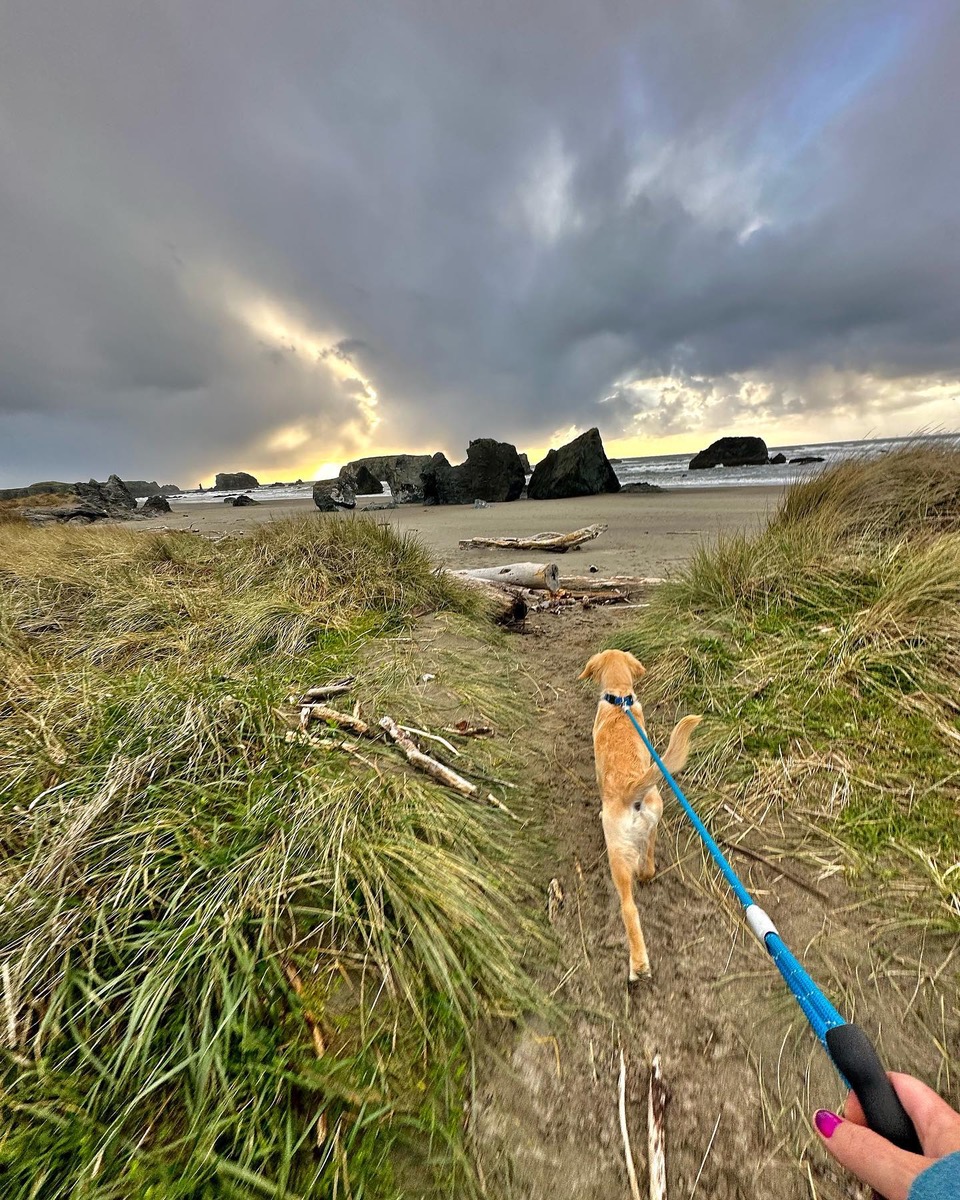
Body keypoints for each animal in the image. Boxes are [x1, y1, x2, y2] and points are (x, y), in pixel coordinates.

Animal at [580, 652, 700, 979]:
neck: (619, 698)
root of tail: (631, 790)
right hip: (651, 826)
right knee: (647, 866)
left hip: (617, 858)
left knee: (628, 908)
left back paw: (639, 964)